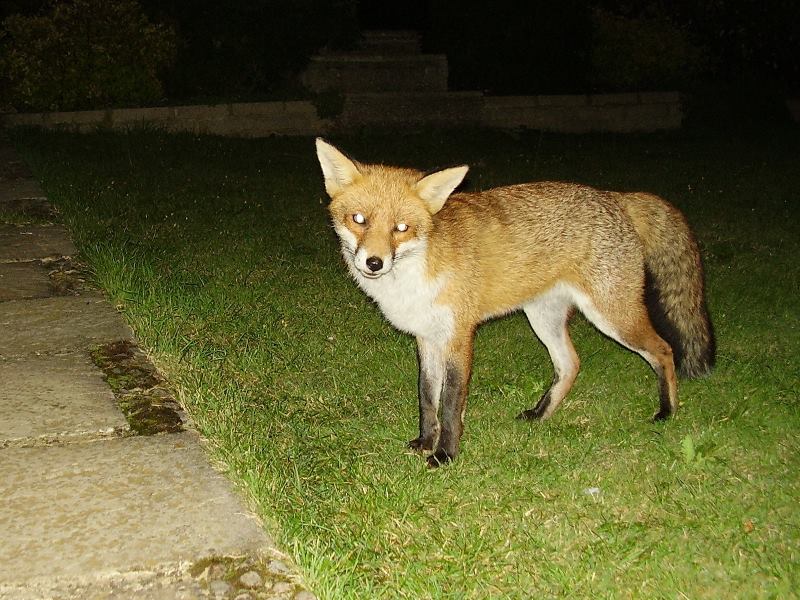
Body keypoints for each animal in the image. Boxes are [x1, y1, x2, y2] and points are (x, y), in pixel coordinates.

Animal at [315, 138, 715, 467]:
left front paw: (445, 455)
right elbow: (427, 398)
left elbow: (450, 403)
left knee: (664, 350)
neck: (416, 271)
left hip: (614, 316)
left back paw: (667, 412)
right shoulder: (427, 338)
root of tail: (614, 196)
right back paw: (540, 415)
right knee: (571, 364)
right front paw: (426, 442)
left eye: (401, 228)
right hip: (543, 318)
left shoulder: (459, 336)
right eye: (359, 219)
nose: (374, 263)